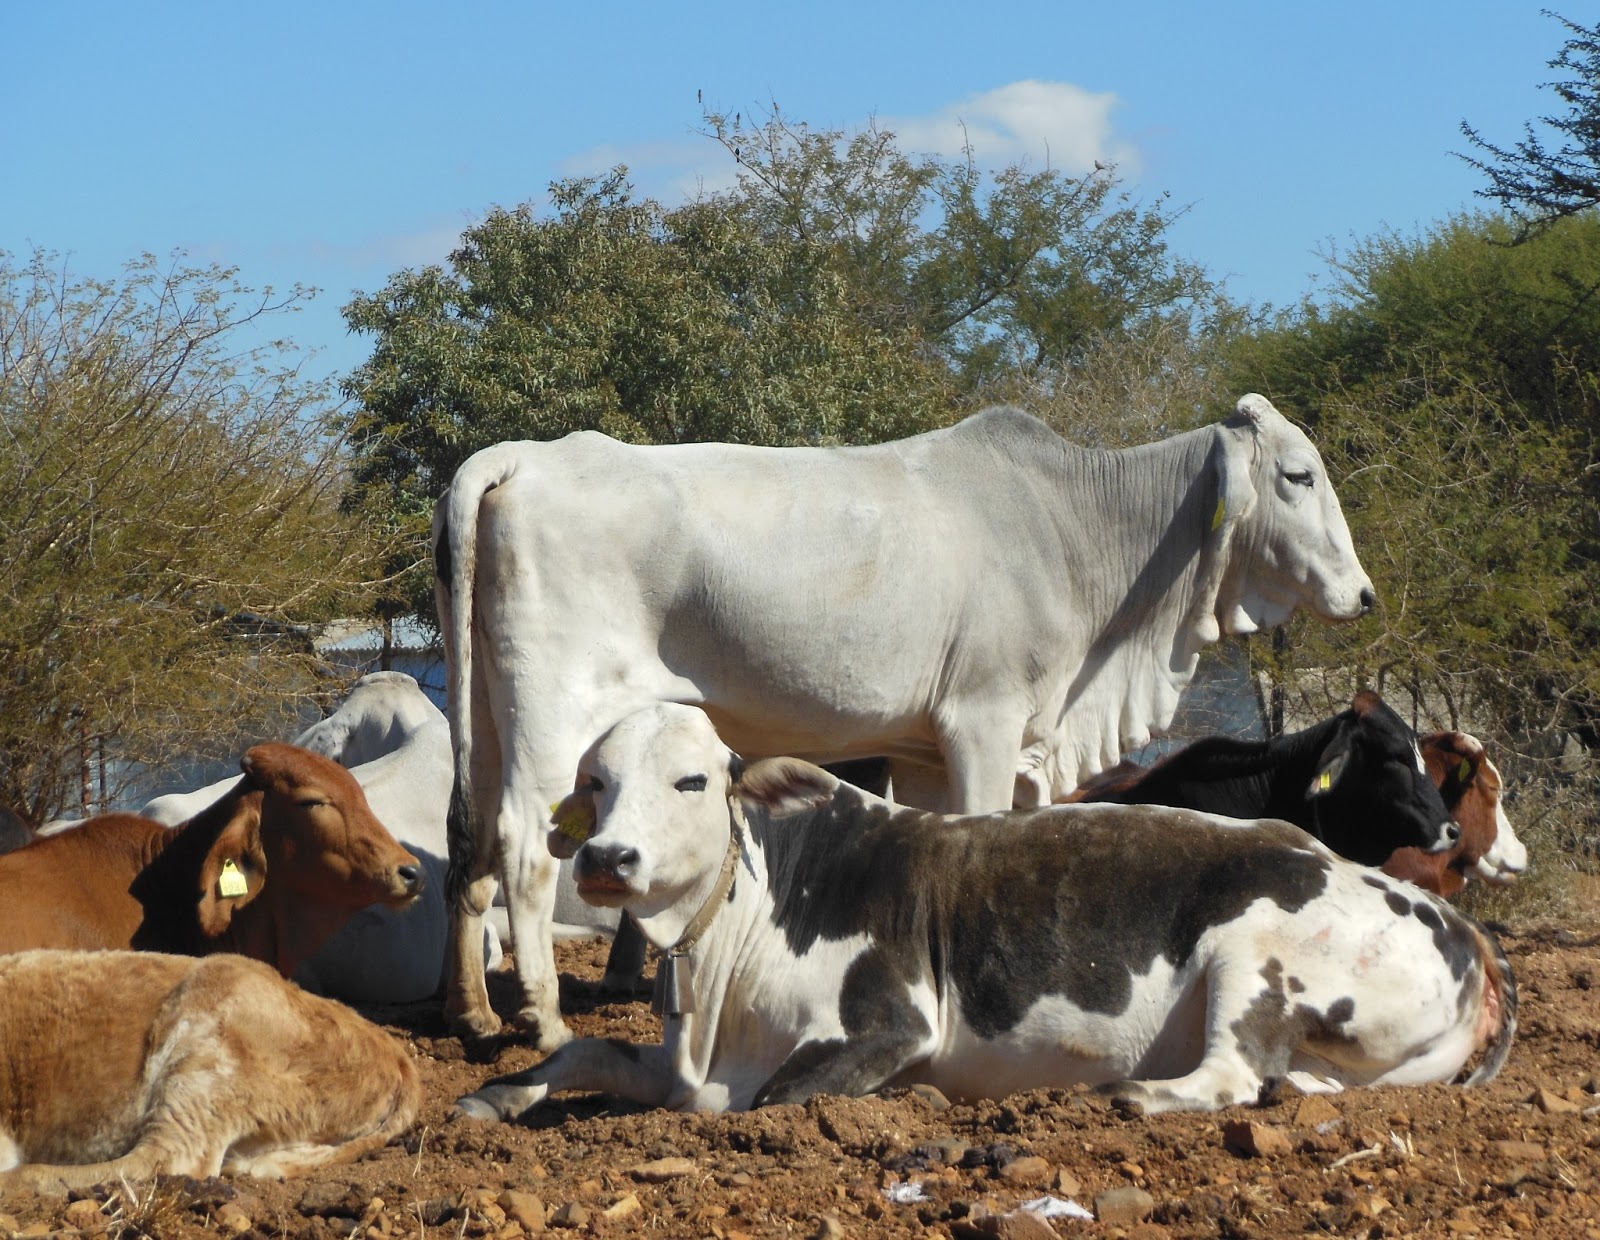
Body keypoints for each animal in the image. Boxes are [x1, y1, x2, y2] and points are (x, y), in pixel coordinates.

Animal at [435, 394, 1387, 1046]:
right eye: (1298, 475)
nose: (1364, 593)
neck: (1073, 531)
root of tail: (521, 459)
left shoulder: (928, 747)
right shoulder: (983, 720)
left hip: (484, 706)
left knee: (468, 839)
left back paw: (472, 1011)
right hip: (554, 710)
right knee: (524, 844)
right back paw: (543, 1020)